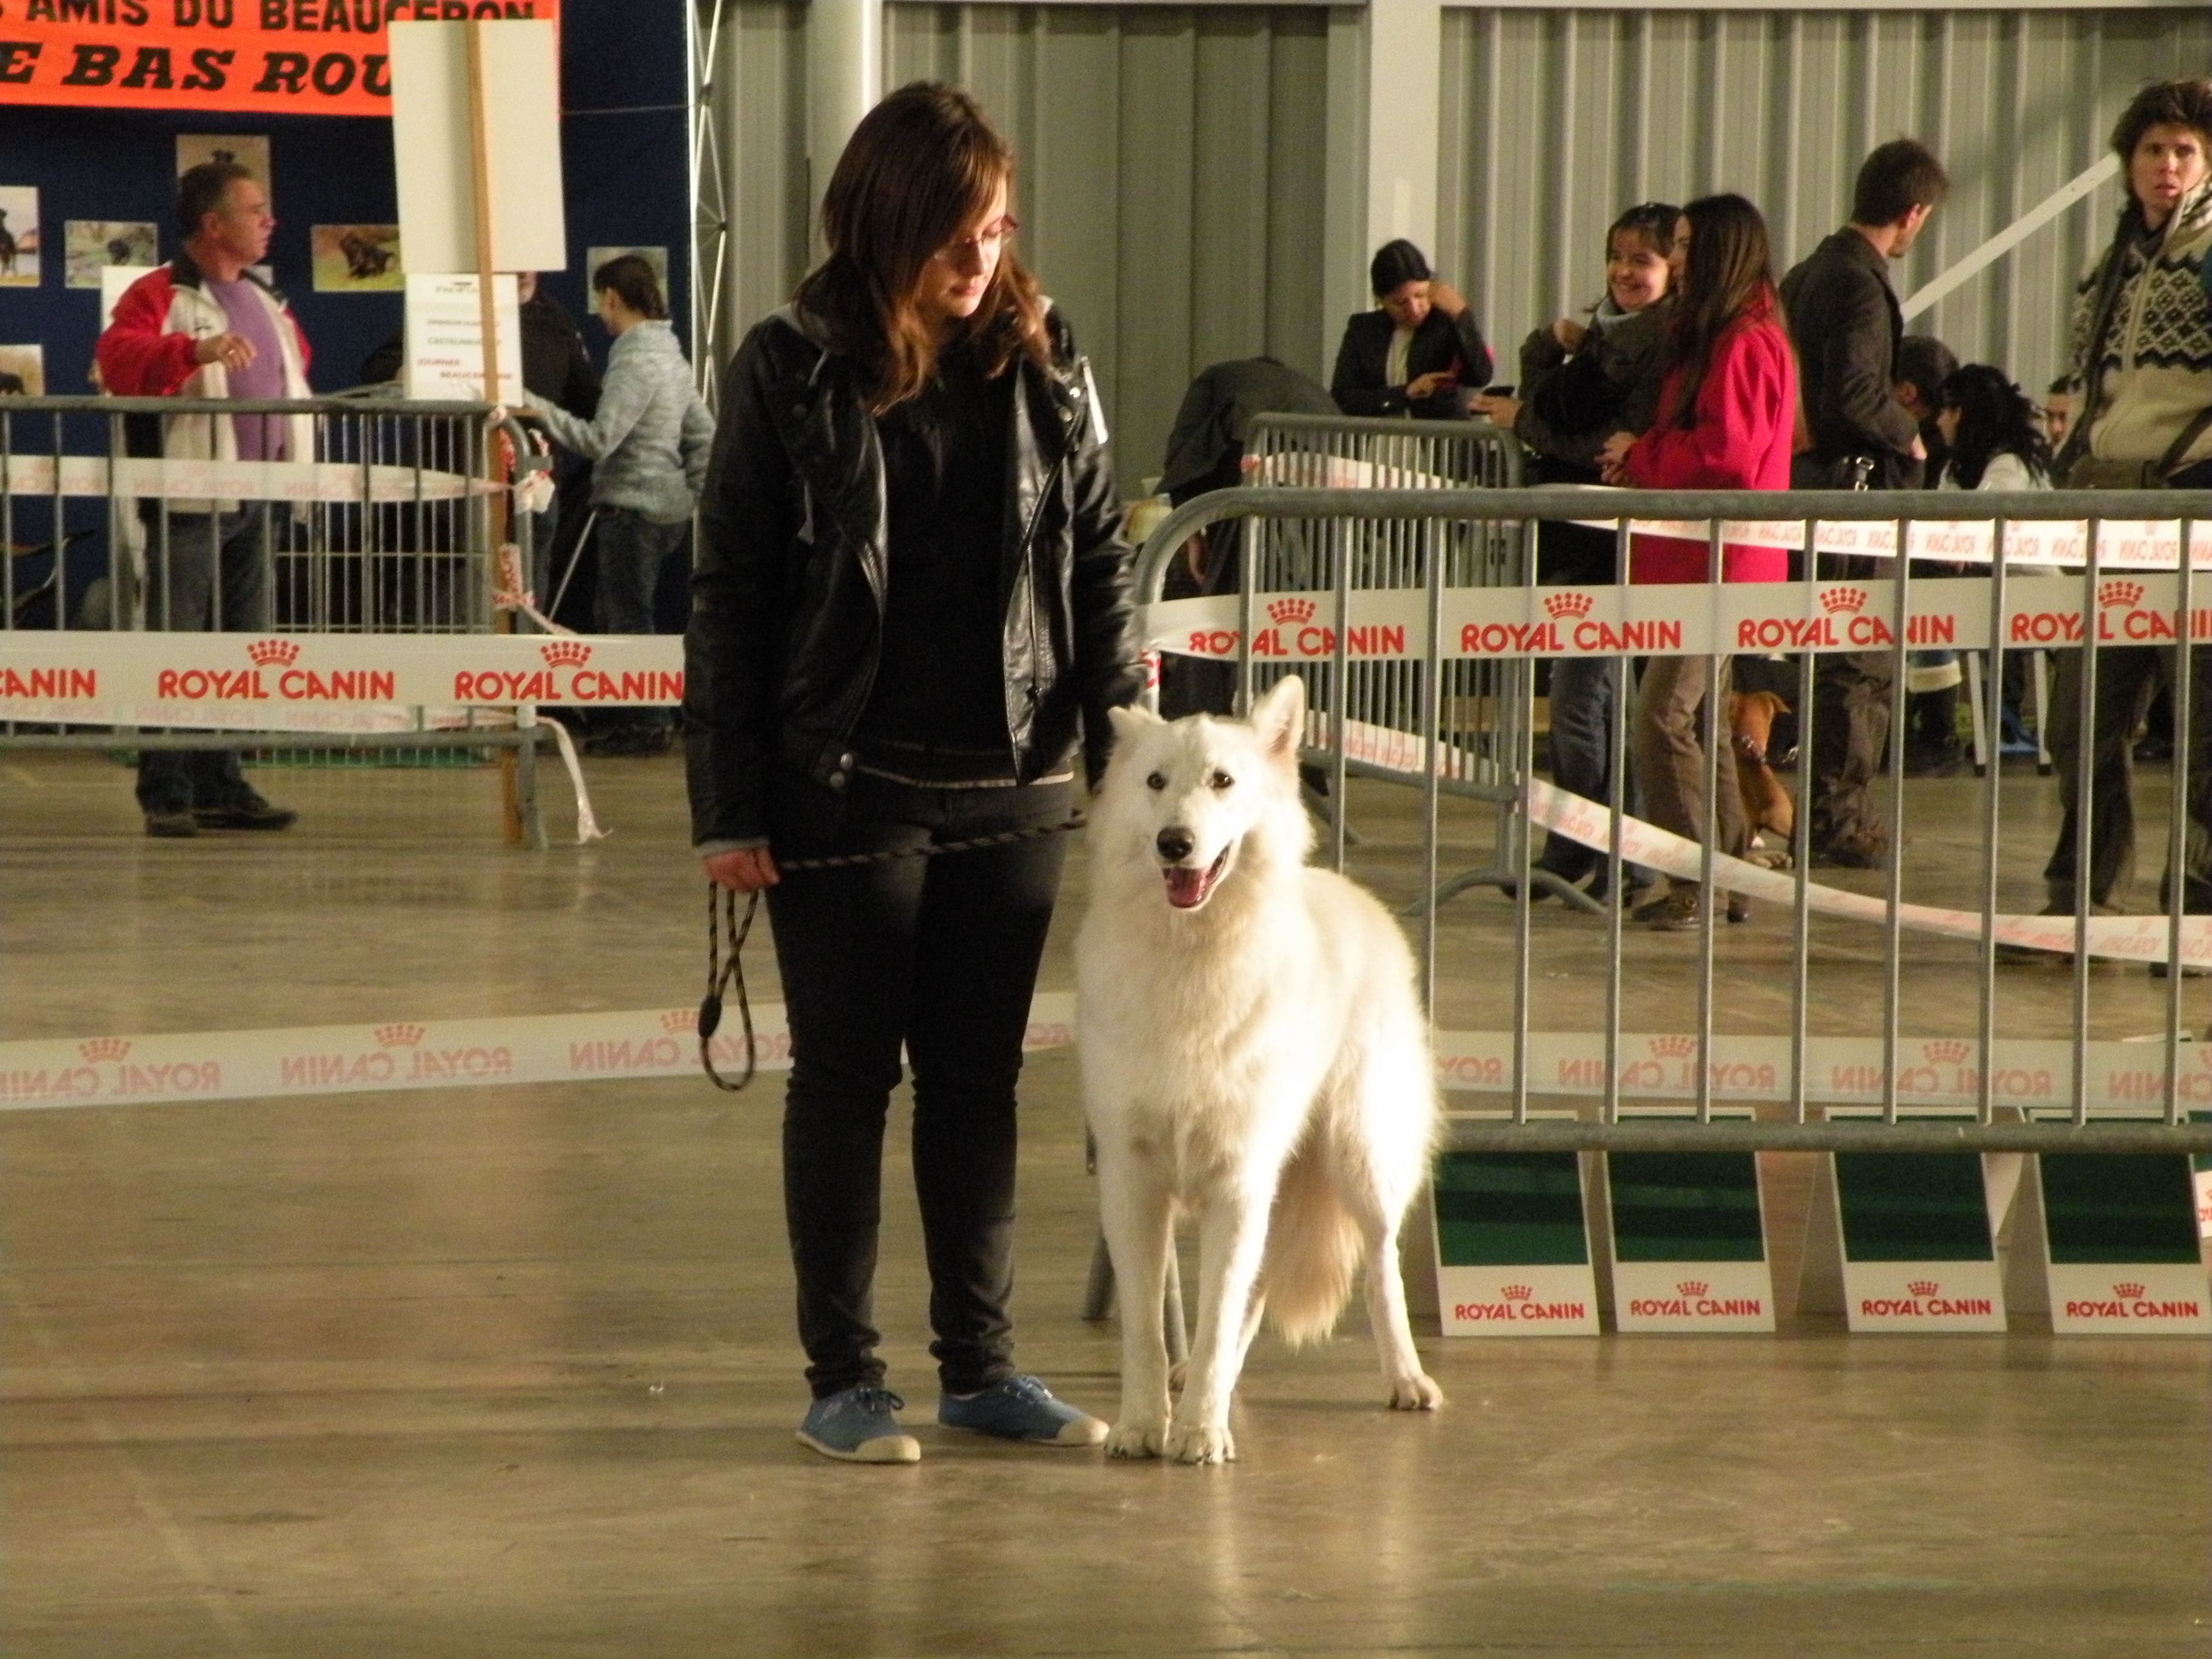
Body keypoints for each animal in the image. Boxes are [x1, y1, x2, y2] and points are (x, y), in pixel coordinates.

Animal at [1074, 677, 1451, 1469]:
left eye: (1222, 782)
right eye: (1155, 782)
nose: (1175, 843)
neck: (1192, 955)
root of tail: (1350, 892)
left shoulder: (1239, 1179)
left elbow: (1218, 1313)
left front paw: (1199, 1431)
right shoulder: (1133, 1180)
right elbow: (1149, 1328)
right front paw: (1143, 1424)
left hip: (1359, 1157)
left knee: (1380, 1265)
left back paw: (1406, 1379)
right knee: (1253, 1294)